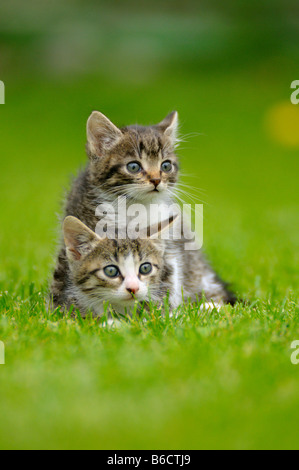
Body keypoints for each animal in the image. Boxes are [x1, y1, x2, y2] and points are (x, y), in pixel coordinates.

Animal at [50, 110, 236, 312]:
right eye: (133, 166)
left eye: (166, 165)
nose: (156, 180)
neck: (136, 208)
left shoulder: (167, 239)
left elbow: (166, 270)